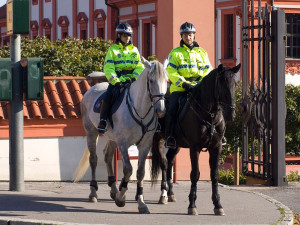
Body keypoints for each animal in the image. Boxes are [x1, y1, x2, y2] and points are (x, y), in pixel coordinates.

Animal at [73, 59, 169, 214]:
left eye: (166, 80)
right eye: (151, 80)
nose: (160, 110)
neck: (140, 110)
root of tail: (91, 89)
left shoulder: (145, 144)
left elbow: (140, 173)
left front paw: (141, 203)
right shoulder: (123, 143)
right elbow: (128, 169)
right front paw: (121, 198)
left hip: (112, 138)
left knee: (107, 156)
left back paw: (113, 189)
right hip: (92, 133)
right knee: (93, 159)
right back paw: (93, 193)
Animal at [151, 63, 240, 216]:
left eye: (235, 84)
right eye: (222, 84)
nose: (231, 114)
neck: (209, 115)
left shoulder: (216, 147)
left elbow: (214, 175)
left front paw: (217, 204)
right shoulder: (195, 148)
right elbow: (195, 174)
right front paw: (192, 205)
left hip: (176, 145)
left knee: (169, 162)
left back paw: (170, 194)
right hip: (158, 140)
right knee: (163, 163)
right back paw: (163, 194)